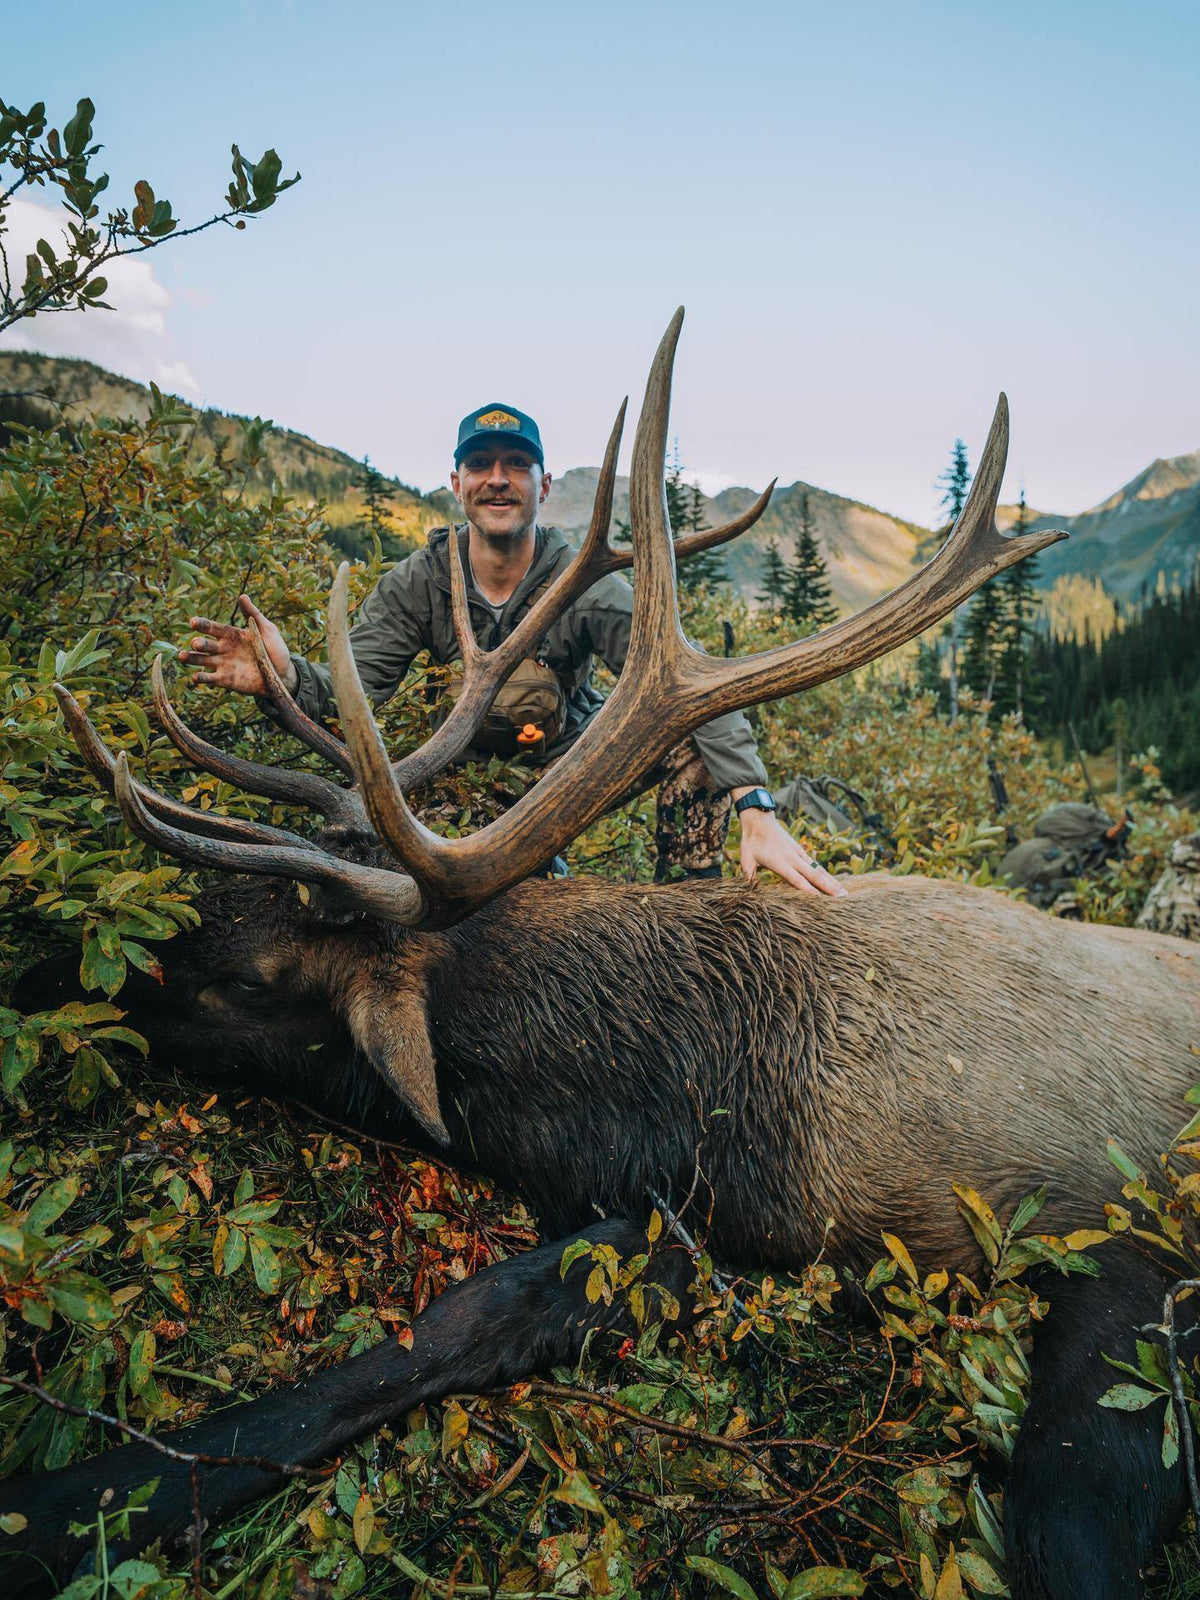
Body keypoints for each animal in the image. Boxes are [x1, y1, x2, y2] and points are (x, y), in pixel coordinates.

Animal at [3, 312, 1198, 1600]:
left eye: (246, 980)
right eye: (211, 896)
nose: (33, 969)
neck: (702, 1085)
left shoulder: (1120, 1241)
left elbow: (1064, 1522)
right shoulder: (692, 1216)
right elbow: (473, 1319)